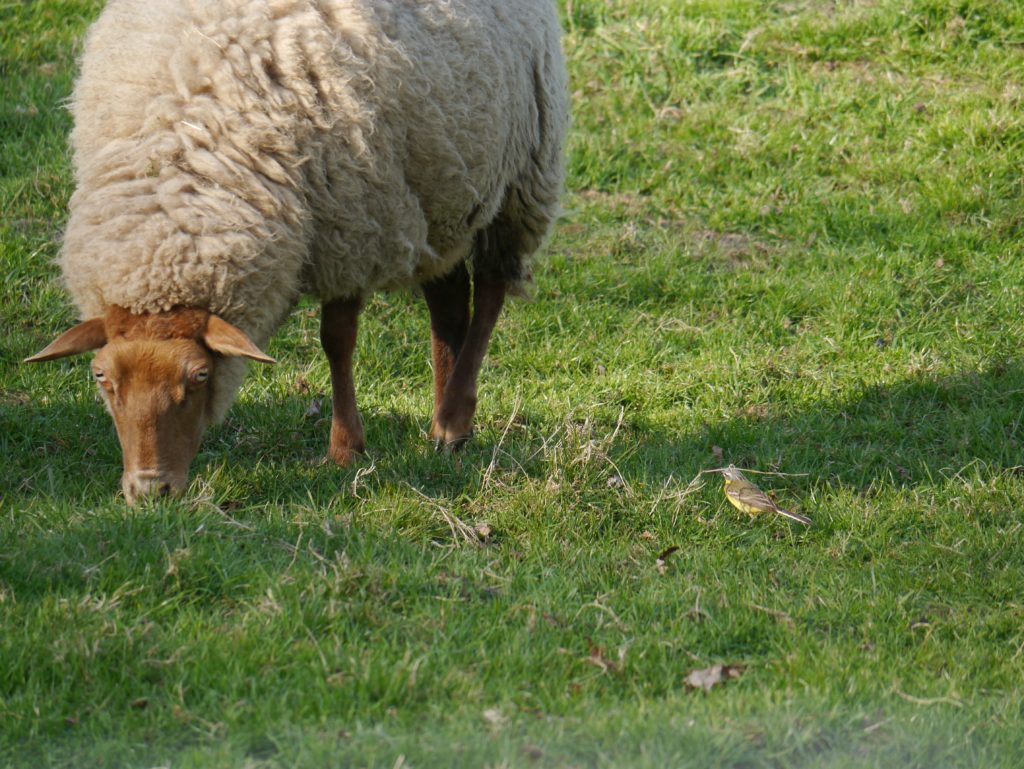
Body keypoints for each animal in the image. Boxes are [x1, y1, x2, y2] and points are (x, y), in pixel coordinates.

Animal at [25, 0, 569, 505]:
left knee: (492, 291)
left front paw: (345, 449)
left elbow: (337, 340)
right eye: (101, 377)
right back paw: (443, 426)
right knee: (450, 303)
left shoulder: (352, 223)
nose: (150, 489)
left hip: (519, 173)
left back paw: (454, 419)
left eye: (200, 376)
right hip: (442, 189)